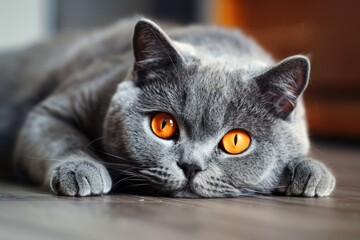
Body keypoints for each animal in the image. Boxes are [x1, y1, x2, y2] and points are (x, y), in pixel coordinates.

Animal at [1, 16, 336, 197]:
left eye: (236, 141)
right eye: (163, 125)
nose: (190, 165)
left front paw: (312, 173)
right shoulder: (52, 109)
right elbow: (62, 137)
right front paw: (83, 170)